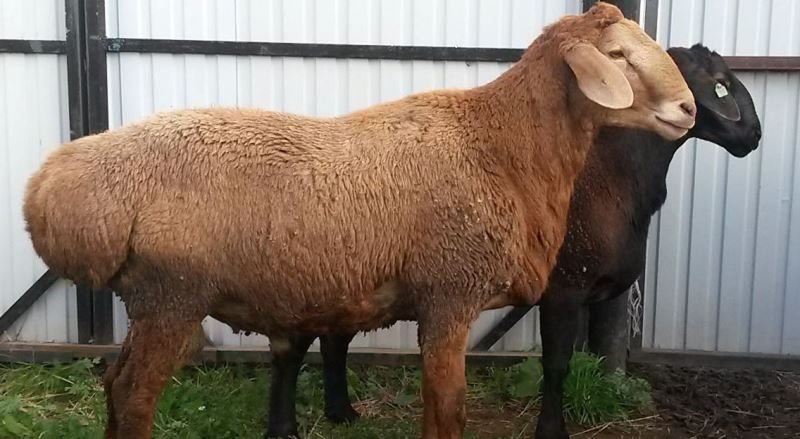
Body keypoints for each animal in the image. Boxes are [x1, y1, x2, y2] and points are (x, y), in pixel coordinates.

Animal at [21, 3, 692, 439]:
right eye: (617, 56)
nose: (687, 109)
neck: (502, 146)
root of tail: (50, 188)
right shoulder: (449, 294)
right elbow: (447, 409)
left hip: (147, 298)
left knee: (114, 385)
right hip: (173, 294)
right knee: (135, 396)